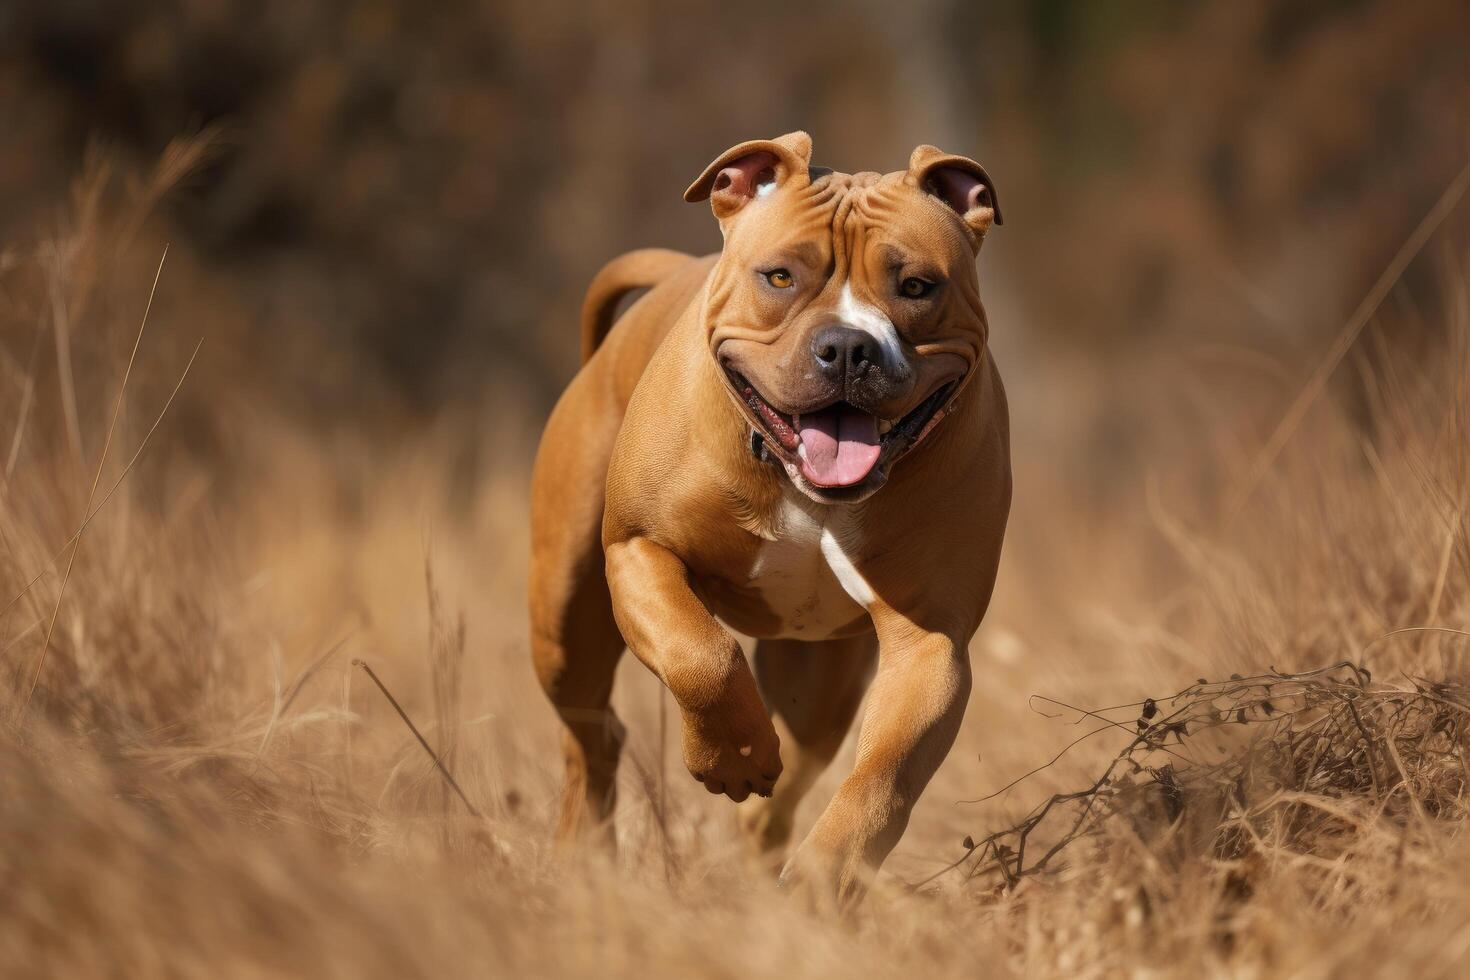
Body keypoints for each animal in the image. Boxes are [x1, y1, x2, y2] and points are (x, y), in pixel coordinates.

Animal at [529, 132, 1011, 905]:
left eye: (917, 286)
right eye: (780, 277)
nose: (848, 347)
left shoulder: (931, 641)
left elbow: (884, 775)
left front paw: (824, 876)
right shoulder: (638, 551)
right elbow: (701, 654)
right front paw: (732, 754)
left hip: (819, 683)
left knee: (778, 798)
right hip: (565, 613)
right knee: (590, 737)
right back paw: (585, 855)